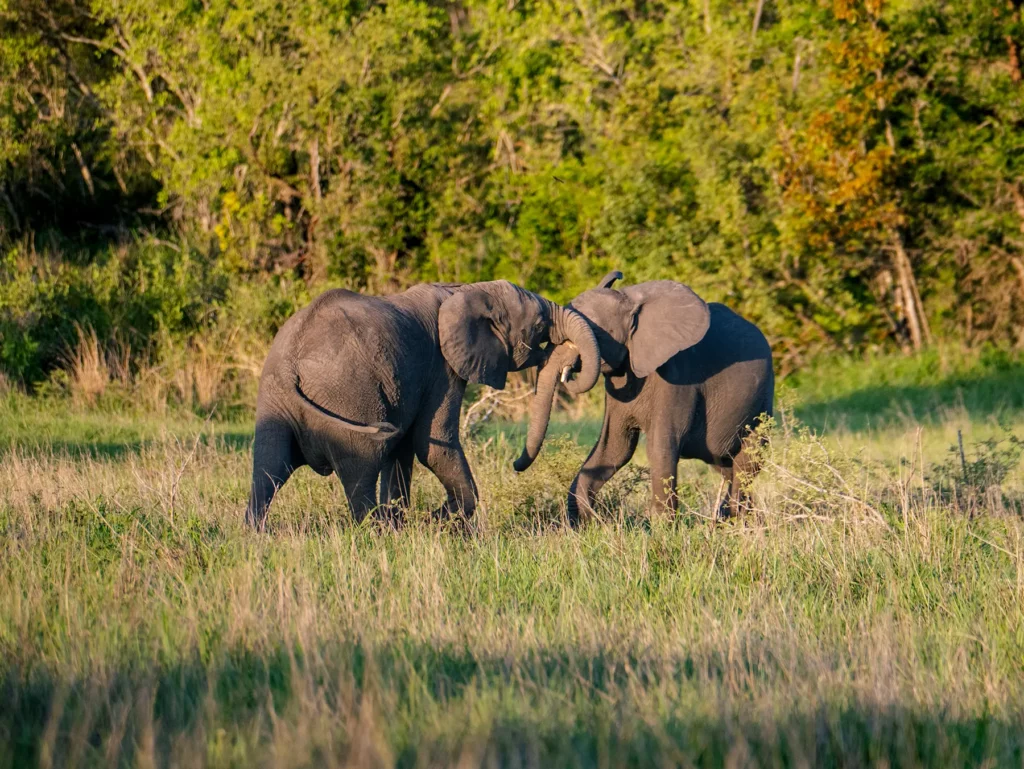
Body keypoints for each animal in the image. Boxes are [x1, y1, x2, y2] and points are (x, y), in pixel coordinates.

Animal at [245, 280, 601, 530]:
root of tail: (289, 366)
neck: (467, 290)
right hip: (348, 395)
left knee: (268, 468)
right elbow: (431, 444)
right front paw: (436, 521)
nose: (516, 464)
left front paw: (407, 523)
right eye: (540, 324)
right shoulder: (441, 368)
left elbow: (403, 450)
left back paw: (257, 533)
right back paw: (373, 532)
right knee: (360, 468)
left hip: (275, 401)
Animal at [513, 271, 774, 525]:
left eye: (594, 333)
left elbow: (660, 446)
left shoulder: (677, 378)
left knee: (747, 462)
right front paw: (585, 521)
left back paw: (736, 519)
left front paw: (663, 530)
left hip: (763, 401)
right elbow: (614, 448)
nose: (515, 465)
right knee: (727, 466)